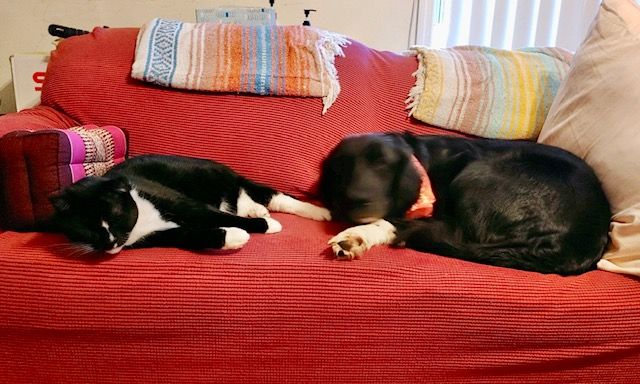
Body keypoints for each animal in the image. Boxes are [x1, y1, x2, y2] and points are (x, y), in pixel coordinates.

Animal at [50, 153, 330, 255]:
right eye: (86, 228)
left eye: (115, 213)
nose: (110, 242)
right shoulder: (152, 237)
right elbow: (188, 236)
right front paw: (234, 237)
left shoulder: (179, 201)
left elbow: (212, 215)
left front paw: (265, 226)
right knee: (242, 201)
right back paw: (255, 210)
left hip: (214, 178)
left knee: (271, 196)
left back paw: (319, 212)